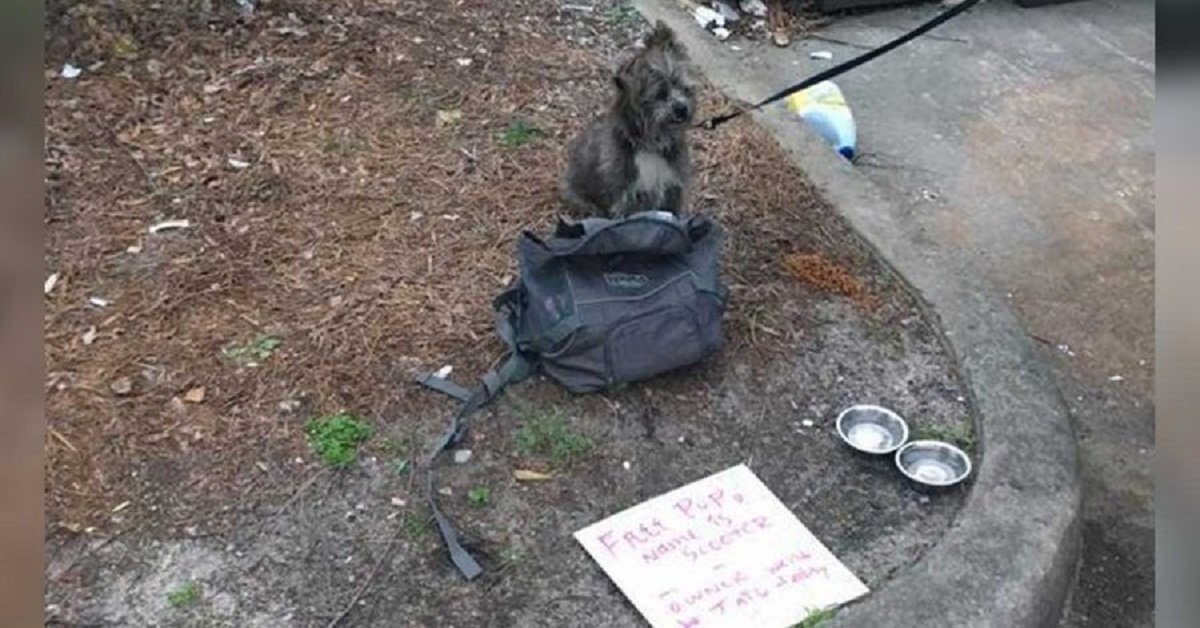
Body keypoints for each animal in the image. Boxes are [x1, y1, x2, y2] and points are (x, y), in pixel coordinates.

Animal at [564, 22, 700, 218]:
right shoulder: (625, 199)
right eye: (660, 94)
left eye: (683, 87)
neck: (651, 147)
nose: (682, 109)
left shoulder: (672, 191)